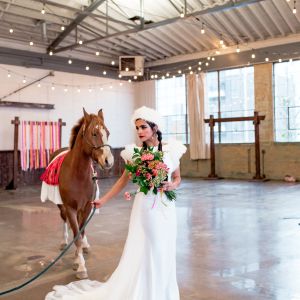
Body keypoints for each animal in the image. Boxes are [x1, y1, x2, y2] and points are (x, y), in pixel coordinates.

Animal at [41, 108, 113, 278]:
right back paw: (64, 242)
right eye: (94, 133)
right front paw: (80, 266)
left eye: (107, 132)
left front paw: (78, 257)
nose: (108, 161)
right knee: (64, 221)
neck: (78, 174)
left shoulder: (87, 207)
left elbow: (81, 231)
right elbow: (76, 235)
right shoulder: (70, 208)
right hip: (61, 207)